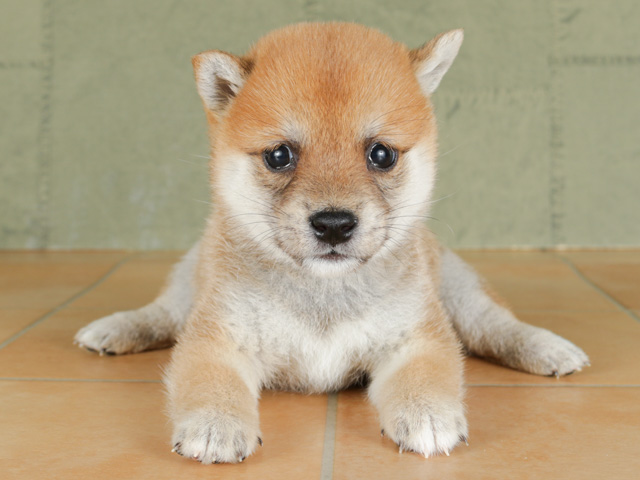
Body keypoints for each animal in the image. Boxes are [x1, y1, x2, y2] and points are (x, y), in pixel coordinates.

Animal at [75, 23, 592, 464]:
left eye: (381, 154)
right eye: (279, 155)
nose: (334, 224)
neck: (323, 295)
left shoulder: (415, 337)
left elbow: (426, 375)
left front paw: (426, 412)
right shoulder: (218, 337)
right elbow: (210, 380)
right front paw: (215, 423)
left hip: (460, 293)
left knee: (495, 326)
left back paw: (547, 347)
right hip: (188, 285)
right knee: (162, 314)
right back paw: (115, 329)